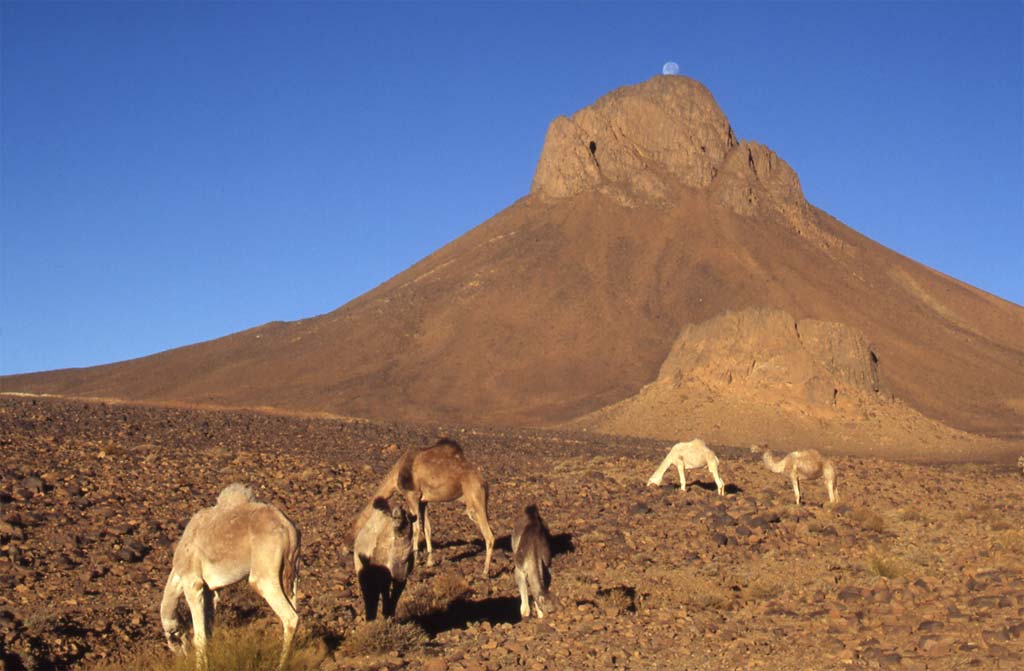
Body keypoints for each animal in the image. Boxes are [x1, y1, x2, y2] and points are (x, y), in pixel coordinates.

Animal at [157, 483, 299, 671]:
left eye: (174, 639)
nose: (182, 660)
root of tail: (288, 529)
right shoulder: (211, 591)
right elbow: (208, 632)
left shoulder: (193, 583)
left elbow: (200, 637)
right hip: (292, 572)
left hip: (264, 576)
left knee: (290, 618)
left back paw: (281, 665)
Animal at [352, 440, 495, 577]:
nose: (350, 549)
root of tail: (484, 482)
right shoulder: (423, 501)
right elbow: (427, 528)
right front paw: (429, 562)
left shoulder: (412, 495)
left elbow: (415, 529)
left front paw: (414, 563)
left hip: (474, 501)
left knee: (489, 536)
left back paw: (484, 572)